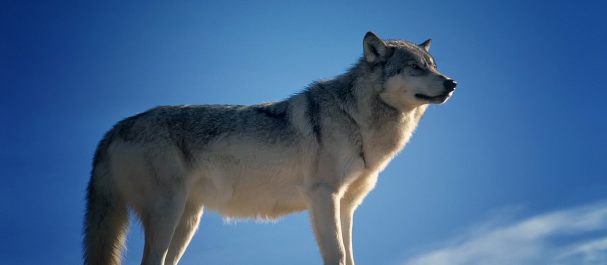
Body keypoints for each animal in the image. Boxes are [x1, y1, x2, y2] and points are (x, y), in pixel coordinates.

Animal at [83, 31, 458, 264]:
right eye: (415, 67)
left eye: (434, 66)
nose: (452, 83)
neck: (355, 118)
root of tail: (113, 130)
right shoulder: (323, 196)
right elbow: (336, 254)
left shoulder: (347, 205)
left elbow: (351, 256)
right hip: (168, 214)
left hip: (187, 221)